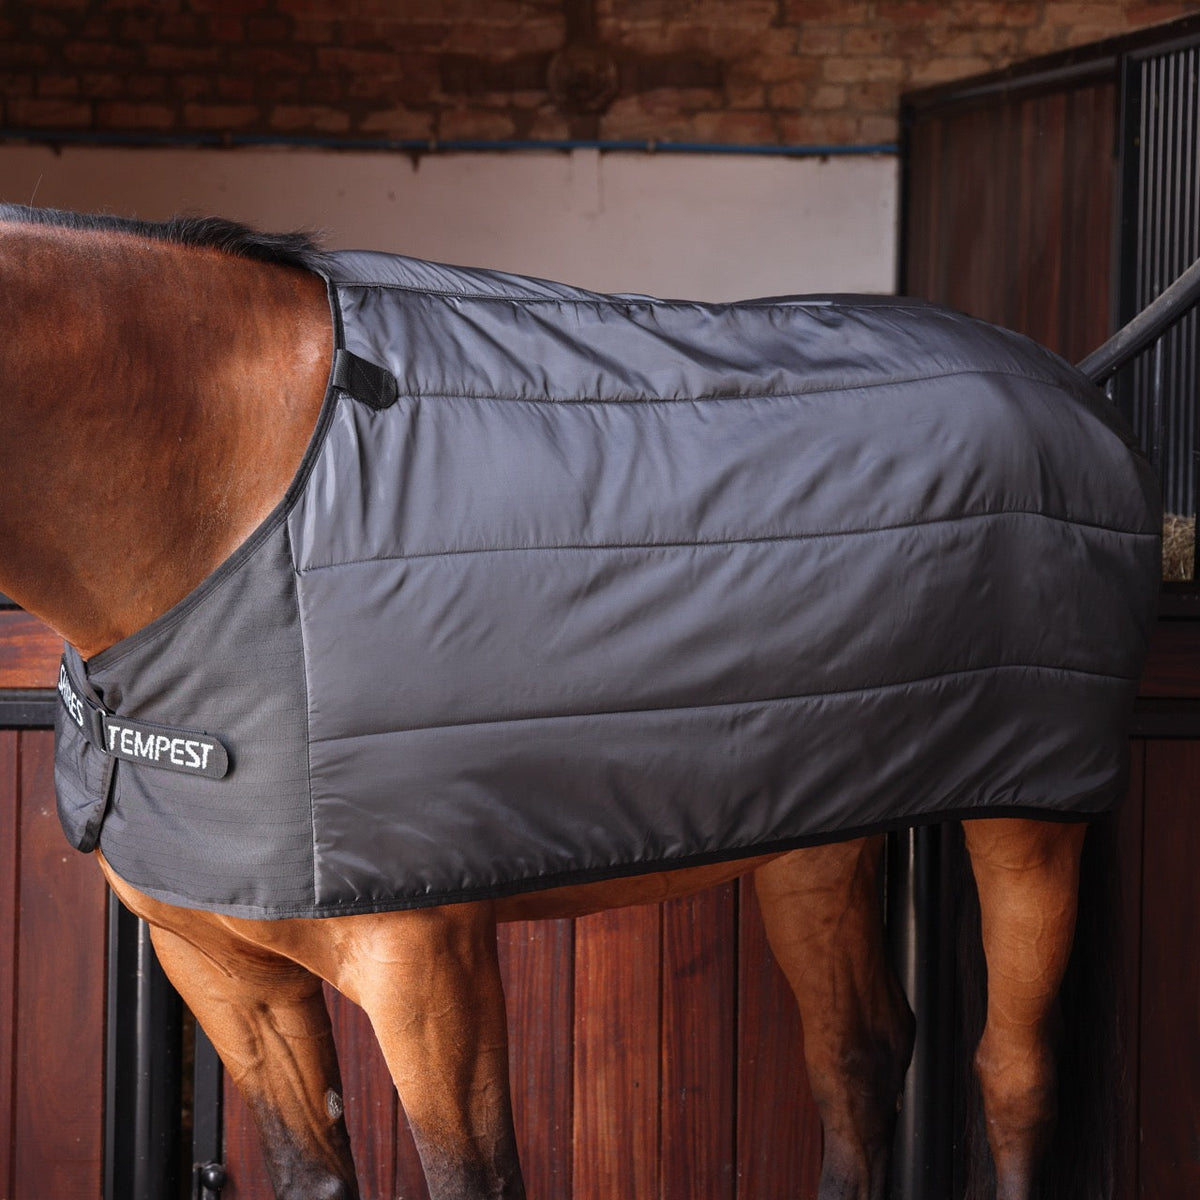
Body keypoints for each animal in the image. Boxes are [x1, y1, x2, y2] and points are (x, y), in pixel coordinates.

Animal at [0, 204, 1160, 1200]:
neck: (244, 499)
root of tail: (1073, 388)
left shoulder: (427, 969)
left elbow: (477, 1180)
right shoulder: (222, 971)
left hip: (1030, 824)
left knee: (1012, 1079)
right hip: (818, 832)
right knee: (859, 1059)